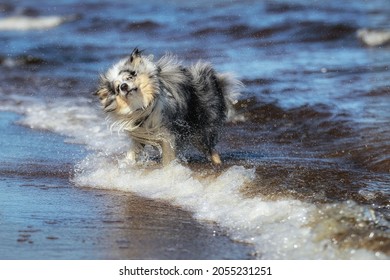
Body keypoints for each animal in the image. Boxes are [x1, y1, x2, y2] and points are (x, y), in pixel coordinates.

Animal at [93, 48, 241, 166]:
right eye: (117, 88)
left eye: (129, 78)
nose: (124, 86)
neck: (143, 105)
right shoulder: (141, 133)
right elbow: (132, 152)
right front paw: (126, 164)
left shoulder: (167, 133)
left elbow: (168, 155)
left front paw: (168, 168)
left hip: (201, 129)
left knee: (210, 148)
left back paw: (218, 164)